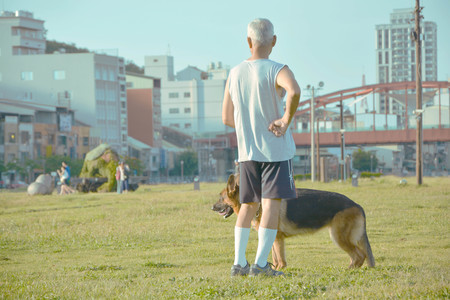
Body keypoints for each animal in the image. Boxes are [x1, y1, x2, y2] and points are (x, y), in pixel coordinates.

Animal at [213, 173, 374, 270]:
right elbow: (275, 257)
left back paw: (348, 270)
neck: (258, 204)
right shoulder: (273, 237)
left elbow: (280, 259)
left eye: (221, 197)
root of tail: (357, 205)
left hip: (338, 237)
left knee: (359, 255)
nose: (211, 207)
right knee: (358, 256)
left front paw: (279, 271)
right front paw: (273, 269)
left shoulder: (278, 238)